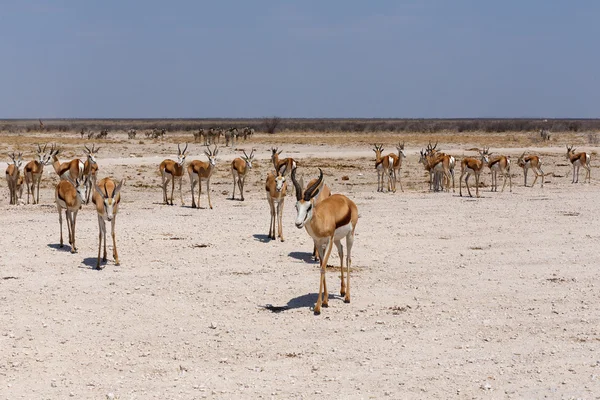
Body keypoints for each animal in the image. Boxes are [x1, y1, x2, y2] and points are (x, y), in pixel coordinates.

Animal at [290, 167, 356, 314]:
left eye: (309, 206)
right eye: (296, 206)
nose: (298, 223)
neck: (320, 220)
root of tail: (347, 200)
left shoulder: (328, 241)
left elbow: (323, 267)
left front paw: (318, 307)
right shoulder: (319, 243)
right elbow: (321, 265)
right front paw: (325, 301)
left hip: (350, 235)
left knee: (348, 258)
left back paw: (348, 297)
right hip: (337, 239)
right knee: (341, 252)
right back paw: (342, 291)